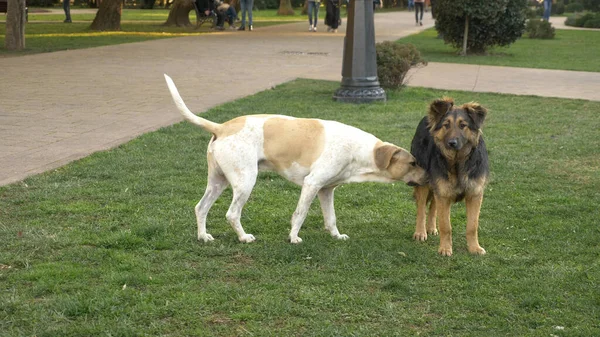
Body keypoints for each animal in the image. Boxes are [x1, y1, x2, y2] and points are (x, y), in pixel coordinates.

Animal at [164, 75, 426, 243]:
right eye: (413, 162)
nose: (430, 176)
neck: (358, 150)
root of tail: (221, 127)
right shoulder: (312, 184)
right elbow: (299, 214)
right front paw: (293, 237)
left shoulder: (326, 190)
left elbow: (331, 218)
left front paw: (336, 236)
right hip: (245, 181)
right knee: (232, 214)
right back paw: (244, 238)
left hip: (218, 182)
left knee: (200, 208)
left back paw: (203, 237)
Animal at [410, 97, 490, 255]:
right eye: (446, 125)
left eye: (463, 125)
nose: (451, 143)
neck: (457, 162)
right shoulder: (444, 193)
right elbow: (445, 225)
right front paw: (445, 248)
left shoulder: (474, 194)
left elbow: (472, 226)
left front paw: (474, 248)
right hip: (424, 183)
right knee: (421, 209)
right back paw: (421, 232)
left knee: (433, 206)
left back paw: (431, 228)